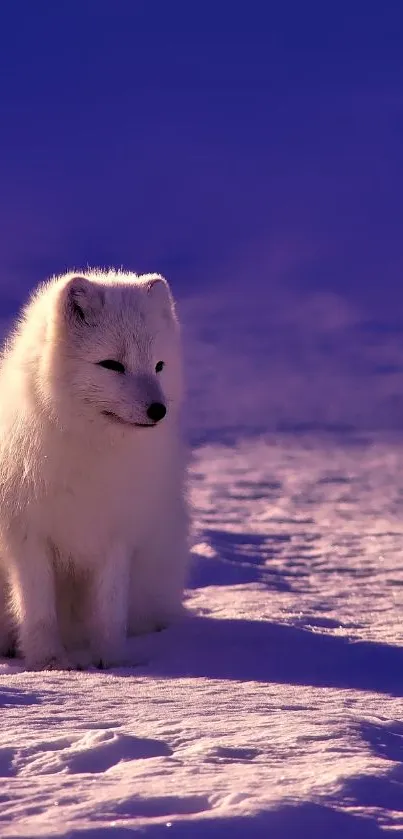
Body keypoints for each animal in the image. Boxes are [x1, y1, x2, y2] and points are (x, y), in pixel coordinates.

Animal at [0, 272, 189, 672]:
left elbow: (109, 608)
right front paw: (50, 662)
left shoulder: (115, 533)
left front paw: (112, 660)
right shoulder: (26, 535)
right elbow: (37, 608)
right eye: (112, 365)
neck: (92, 449)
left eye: (159, 366)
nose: (158, 410)